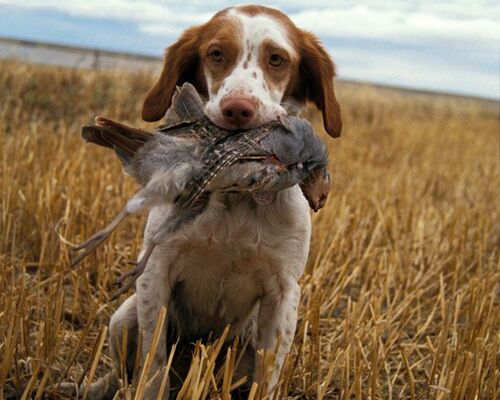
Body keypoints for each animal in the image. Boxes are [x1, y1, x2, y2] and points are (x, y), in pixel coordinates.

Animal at [71, 3, 340, 400]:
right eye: (216, 54)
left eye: (277, 59)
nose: (238, 109)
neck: (235, 203)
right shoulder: (158, 275)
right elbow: (153, 366)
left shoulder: (284, 293)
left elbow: (267, 377)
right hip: (123, 319)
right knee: (124, 373)